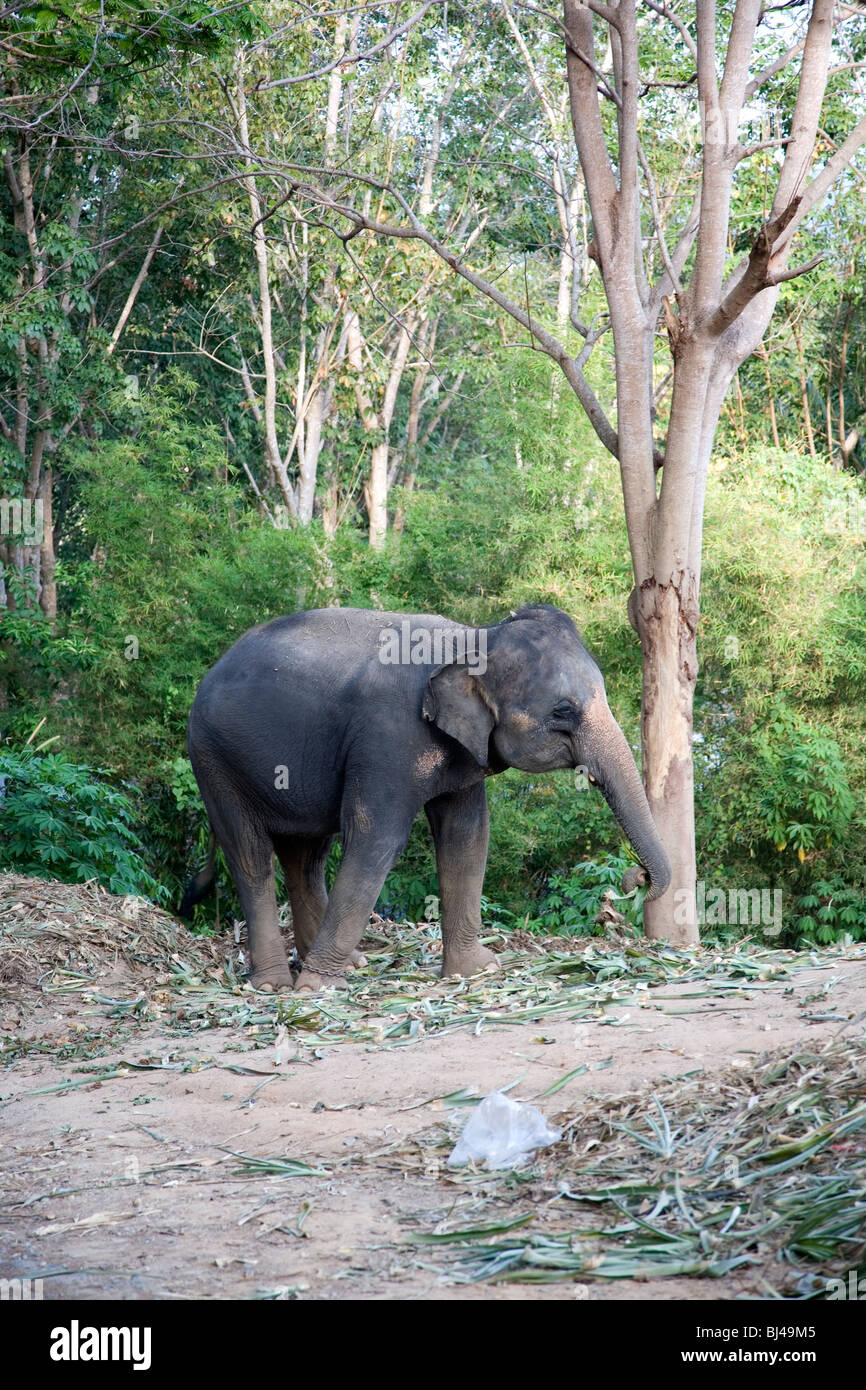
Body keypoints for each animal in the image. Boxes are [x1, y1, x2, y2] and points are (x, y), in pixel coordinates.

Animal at [180, 606, 670, 989]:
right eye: (562, 711)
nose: (633, 878)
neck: (474, 635)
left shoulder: (461, 749)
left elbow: (467, 837)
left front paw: (477, 971)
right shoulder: (387, 737)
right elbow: (375, 837)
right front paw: (315, 988)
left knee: (306, 855)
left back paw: (347, 964)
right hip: (214, 759)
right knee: (249, 855)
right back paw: (278, 984)